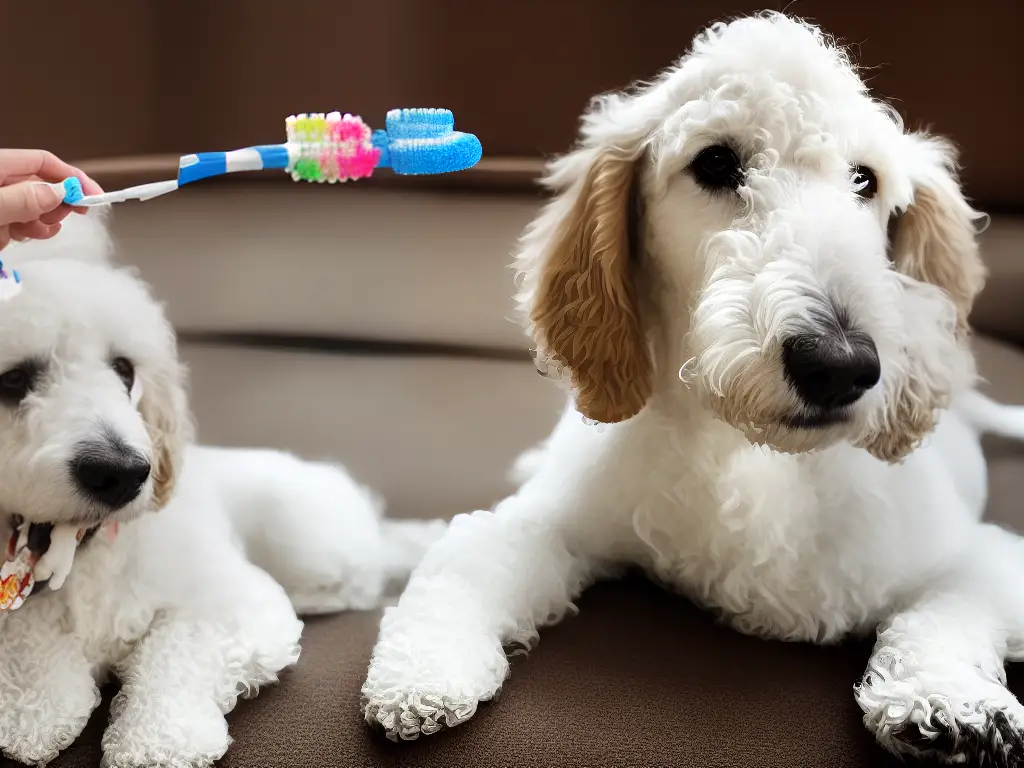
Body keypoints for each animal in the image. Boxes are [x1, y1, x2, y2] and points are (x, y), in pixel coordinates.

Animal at [0, 211, 444, 768]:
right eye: (13, 380)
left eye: (124, 370)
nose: (123, 472)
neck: (88, 546)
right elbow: (32, 651)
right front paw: (33, 710)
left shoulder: (235, 607)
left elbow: (175, 653)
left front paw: (159, 740)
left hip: (313, 542)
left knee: (360, 578)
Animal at [364, 12, 1024, 768]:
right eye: (715, 163)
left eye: (867, 180)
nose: (839, 364)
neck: (752, 456)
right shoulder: (558, 520)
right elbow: (469, 558)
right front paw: (420, 672)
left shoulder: (983, 558)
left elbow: (945, 613)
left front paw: (947, 699)